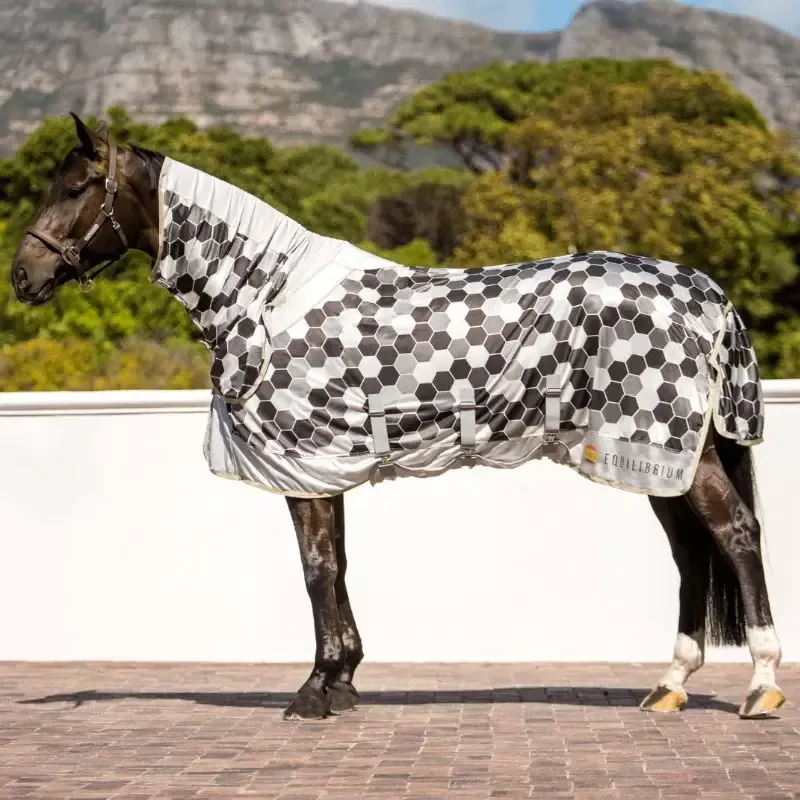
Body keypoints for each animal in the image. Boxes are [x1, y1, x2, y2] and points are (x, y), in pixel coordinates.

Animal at [10, 114, 785, 721]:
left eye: (75, 189)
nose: (23, 275)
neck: (268, 294)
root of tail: (704, 293)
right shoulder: (325, 468)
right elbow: (338, 566)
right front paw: (342, 679)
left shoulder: (302, 463)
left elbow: (317, 569)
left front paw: (314, 691)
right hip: (657, 455)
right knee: (692, 552)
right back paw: (669, 685)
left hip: (675, 449)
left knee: (735, 534)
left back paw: (762, 685)